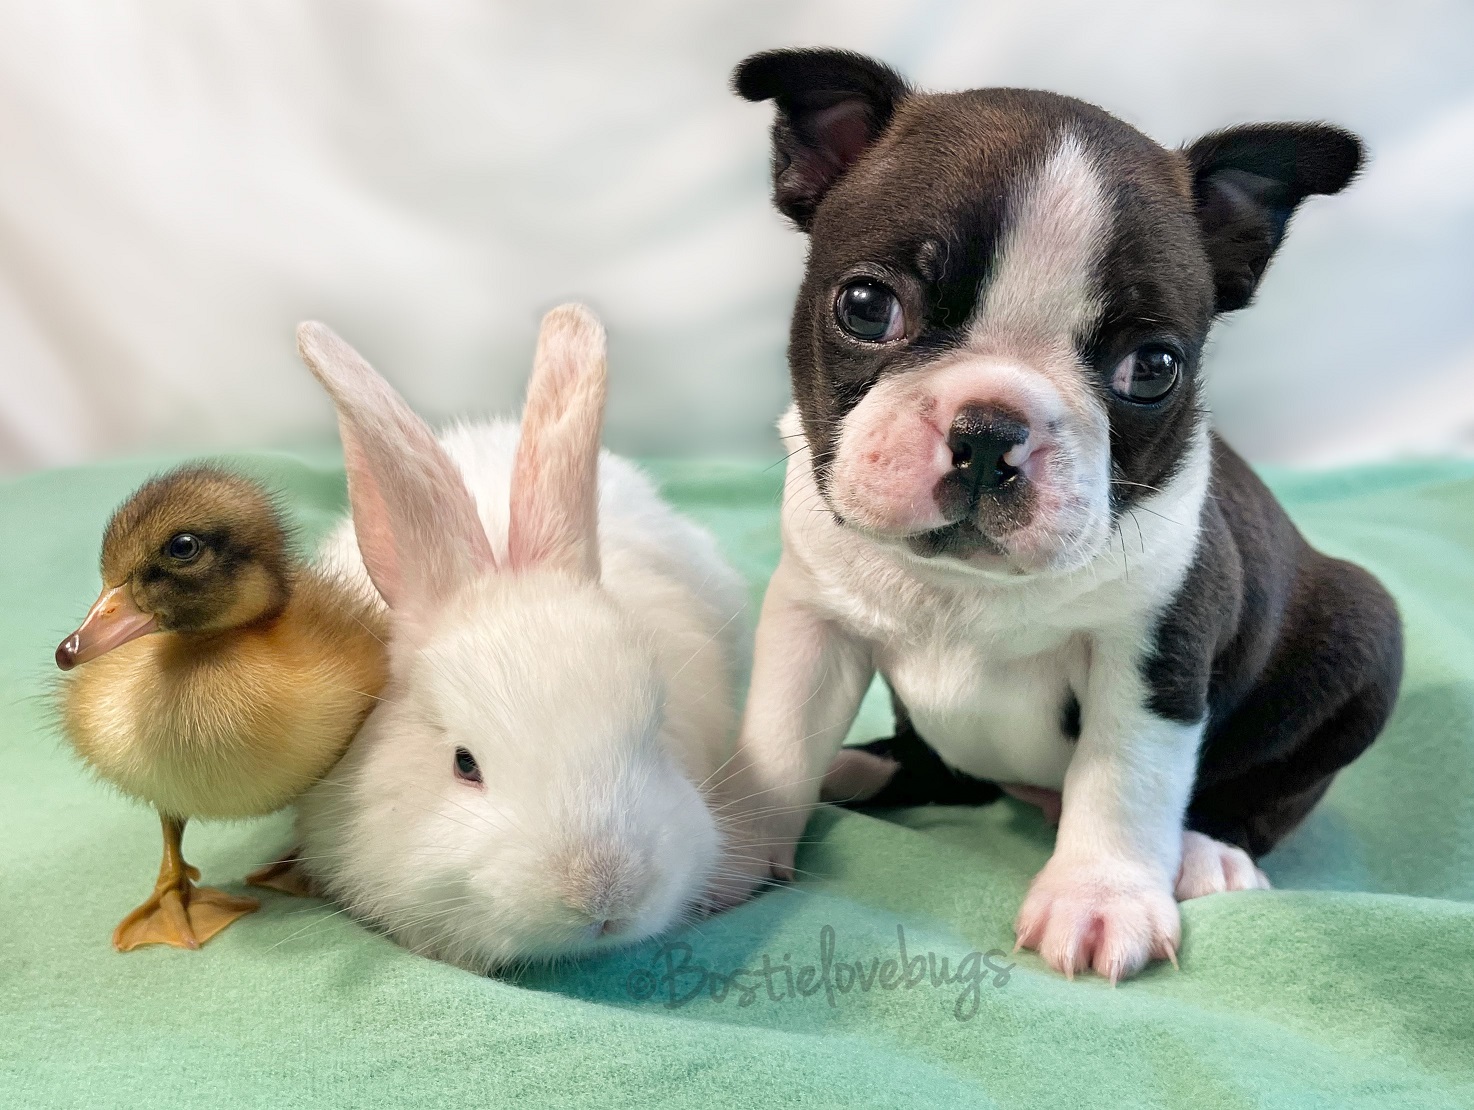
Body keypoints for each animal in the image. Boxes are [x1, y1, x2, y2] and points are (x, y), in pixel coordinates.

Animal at [723, 48, 1403, 982]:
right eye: (866, 306)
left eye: (1152, 367)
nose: (987, 433)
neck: (964, 585)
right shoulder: (814, 619)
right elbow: (783, 733)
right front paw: (732, 843)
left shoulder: (1152, 651)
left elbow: (1124, 776)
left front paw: (1100, 899)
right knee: (938, 770)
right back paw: (861, 770)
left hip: (1364, 635)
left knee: (1264, 791)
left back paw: (1208, 851)